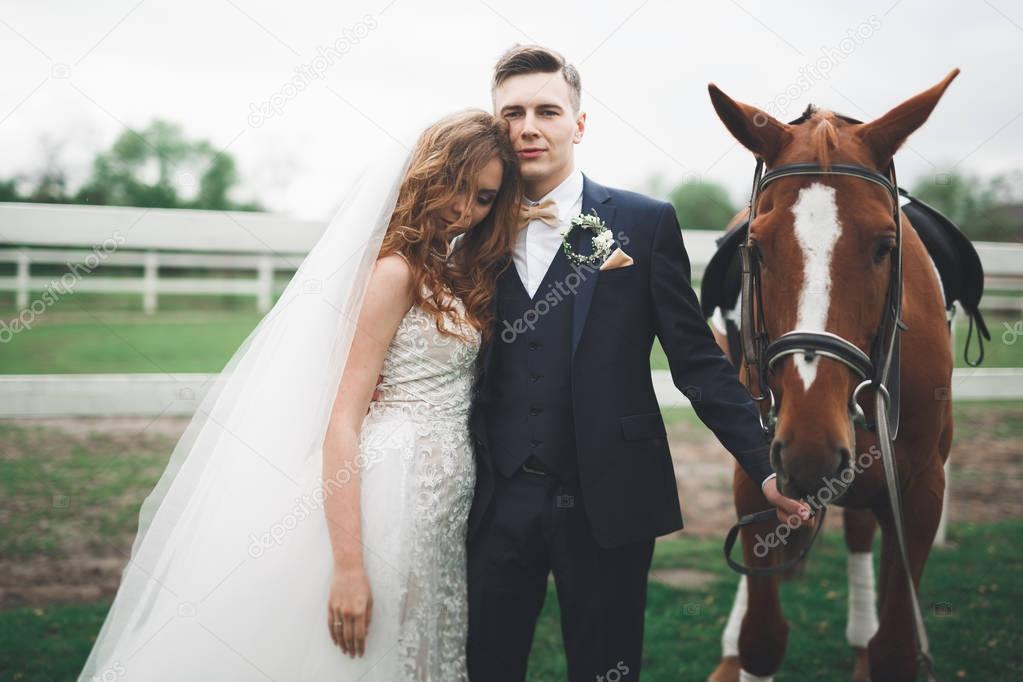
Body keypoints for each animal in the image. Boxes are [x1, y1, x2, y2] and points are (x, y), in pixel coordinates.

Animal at [699, 70, 961, 682]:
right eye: (756, 248)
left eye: (885, 246)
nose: (811, 450)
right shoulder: (755, 473)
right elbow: (762, 638)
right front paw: (741, 646)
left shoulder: (921, 492)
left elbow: (895, 650)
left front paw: (874, 645)